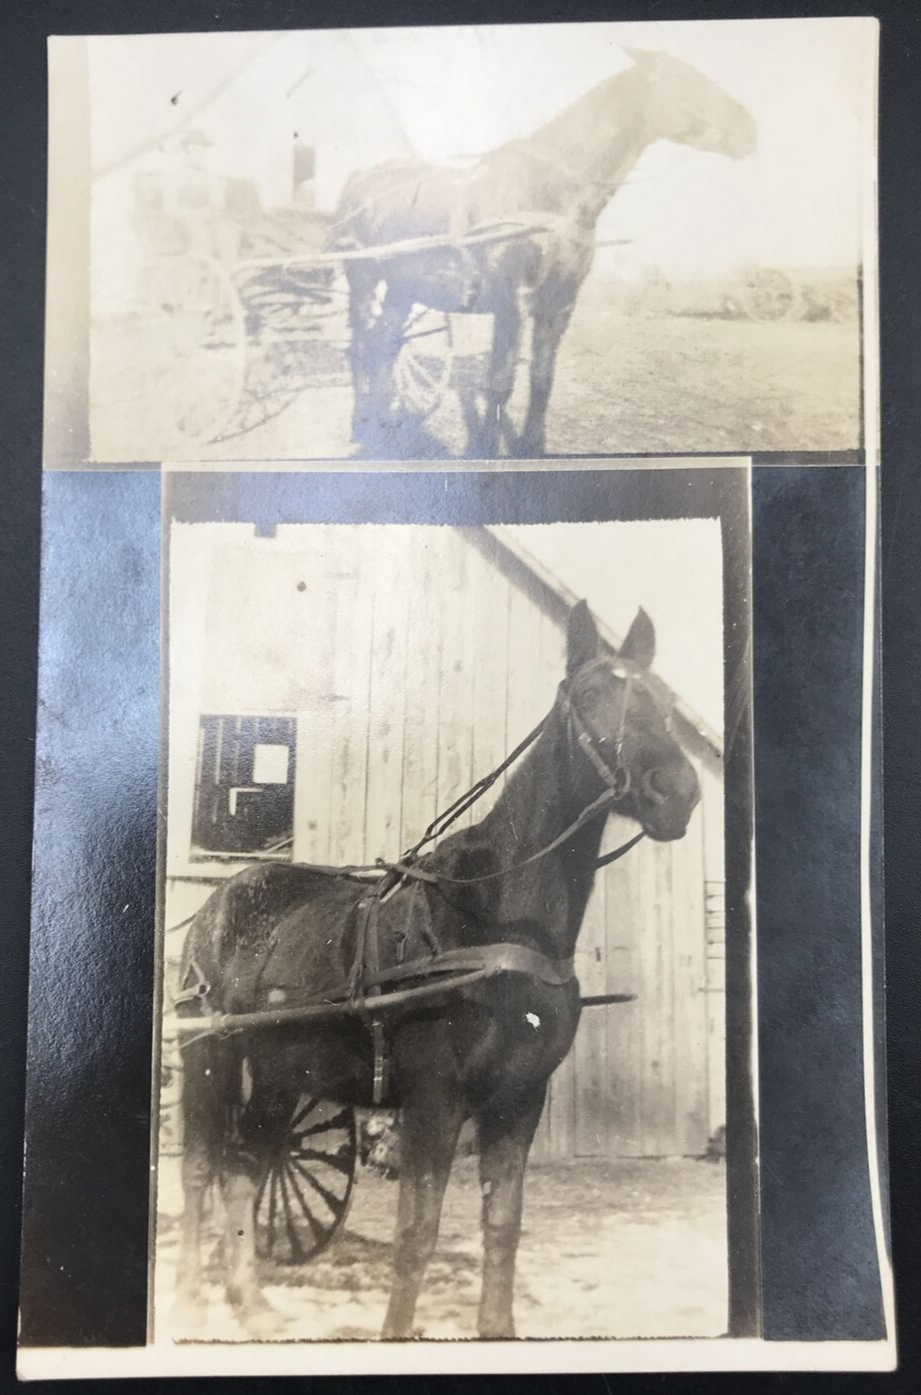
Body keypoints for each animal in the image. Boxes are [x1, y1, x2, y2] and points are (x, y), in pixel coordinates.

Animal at [176, 602, 700, 1339]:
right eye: (593, 693)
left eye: (663, 702)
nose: (675, 791)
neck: (497, 923)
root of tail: (220, 900)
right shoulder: (435, 1099)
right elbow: (416, 1235)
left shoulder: (519, 1100)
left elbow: (503, 1225)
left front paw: (497, 1328)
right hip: (207, 1053)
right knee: (201, 1168)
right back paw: (191, 1297)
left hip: (281, 1074)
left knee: (247, 1167)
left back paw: (250, 1302)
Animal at [332, 49, 753, 457]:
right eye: (685, 78)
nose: (751, 130)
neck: (549, 197)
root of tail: (358, 178)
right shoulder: (512, 302)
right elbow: (500, 381)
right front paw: (486, 447)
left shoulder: (560, 303)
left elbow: (541, 378)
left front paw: (533, 445)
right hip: (363, 280)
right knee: (362, 344)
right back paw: (360, 422)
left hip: (402, 289)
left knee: (385, 344)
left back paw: (384, 424)